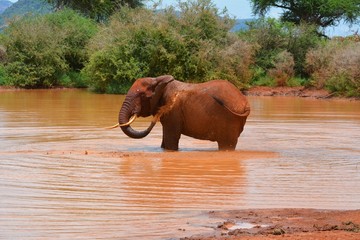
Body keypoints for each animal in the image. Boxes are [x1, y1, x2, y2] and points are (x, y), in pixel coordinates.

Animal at [113, 75, 250, 150]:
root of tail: (245, 102)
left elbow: (171, 140)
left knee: (226, 145)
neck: (159, 80)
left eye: (142, 95)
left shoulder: (173, 111)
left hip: (229, 119)